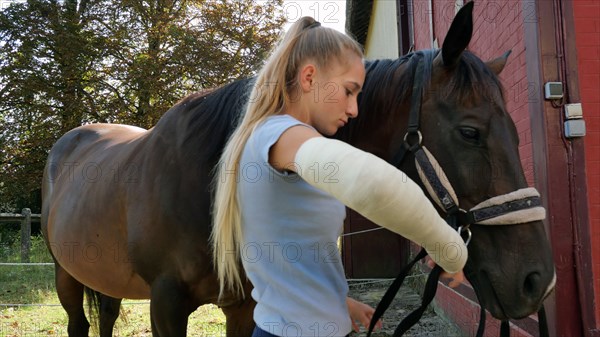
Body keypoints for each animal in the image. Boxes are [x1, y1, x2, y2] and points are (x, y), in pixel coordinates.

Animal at [42, 3, 556, 336]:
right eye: (470, 132)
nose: (537, 281)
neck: (209, 177)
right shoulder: (167, 304)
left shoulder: (244, 306)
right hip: (65, 276)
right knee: (78, 324)